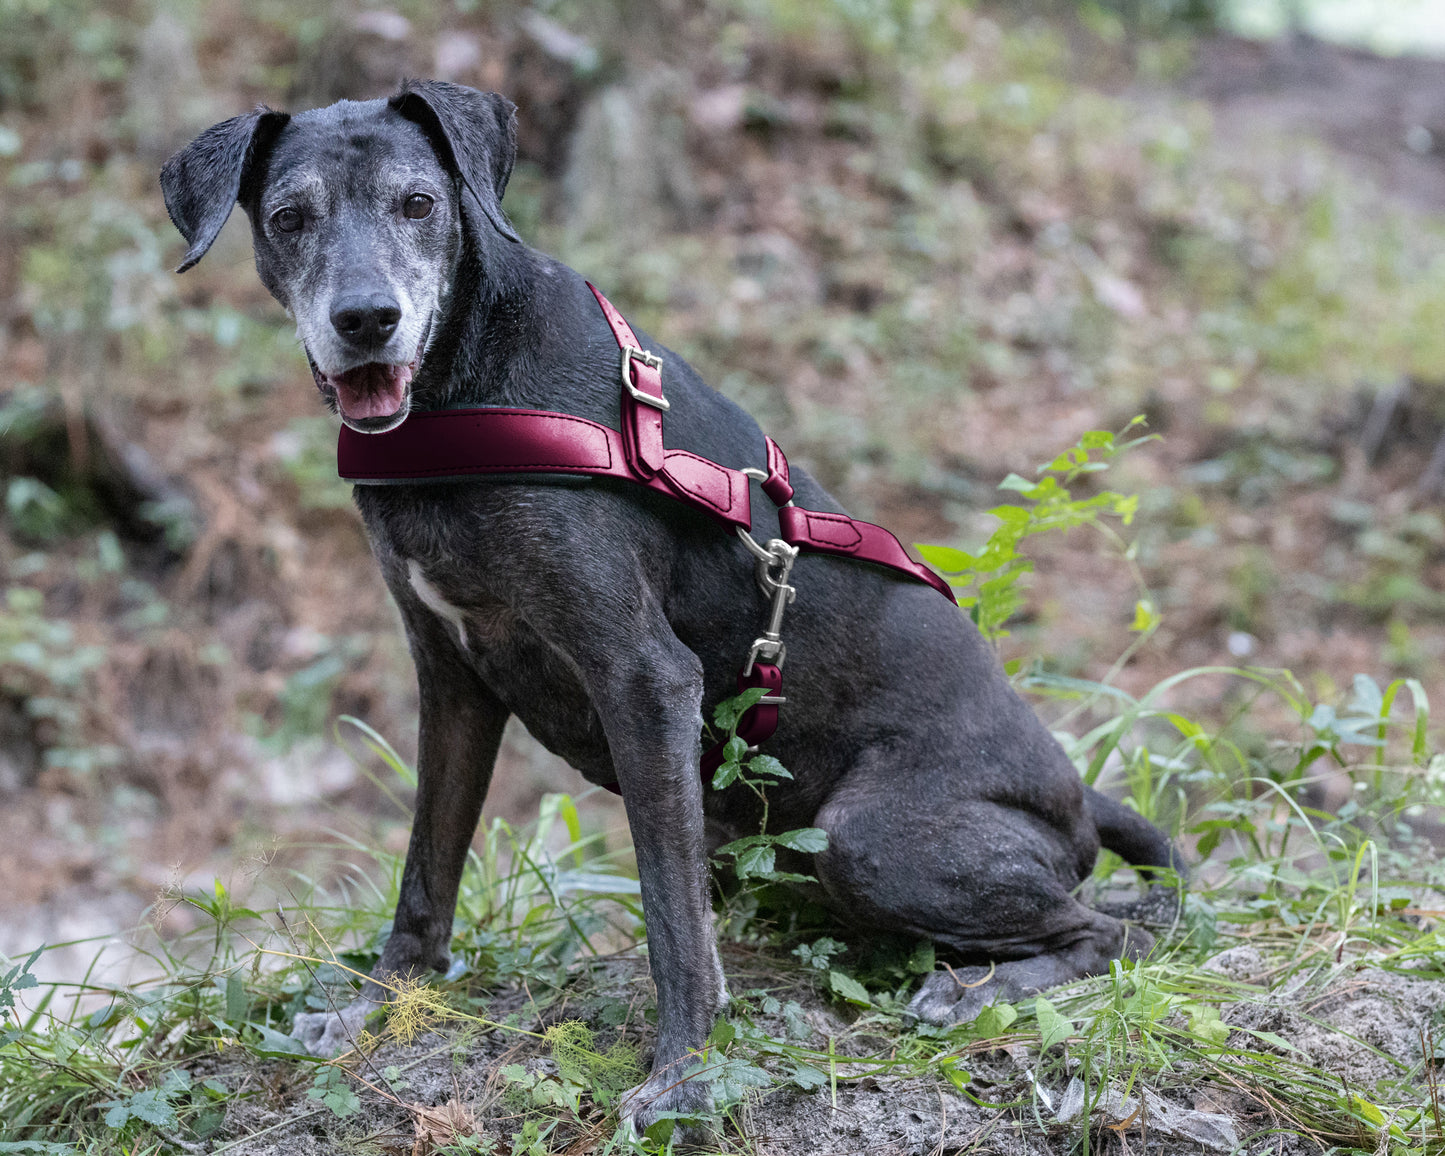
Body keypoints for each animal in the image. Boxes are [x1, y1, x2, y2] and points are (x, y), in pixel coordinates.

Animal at [161, 85, 1184, 1132]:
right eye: (290, 217)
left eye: (418, 203)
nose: (367, 319)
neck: (462, 391)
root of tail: (1078, 799)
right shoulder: (451, 678)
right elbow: (424, 873)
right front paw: (376, 1006)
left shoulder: (643, 677)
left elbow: (670, 918)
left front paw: (683, 1074)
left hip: (868, 838)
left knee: (1117, 933)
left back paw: (977, 989)